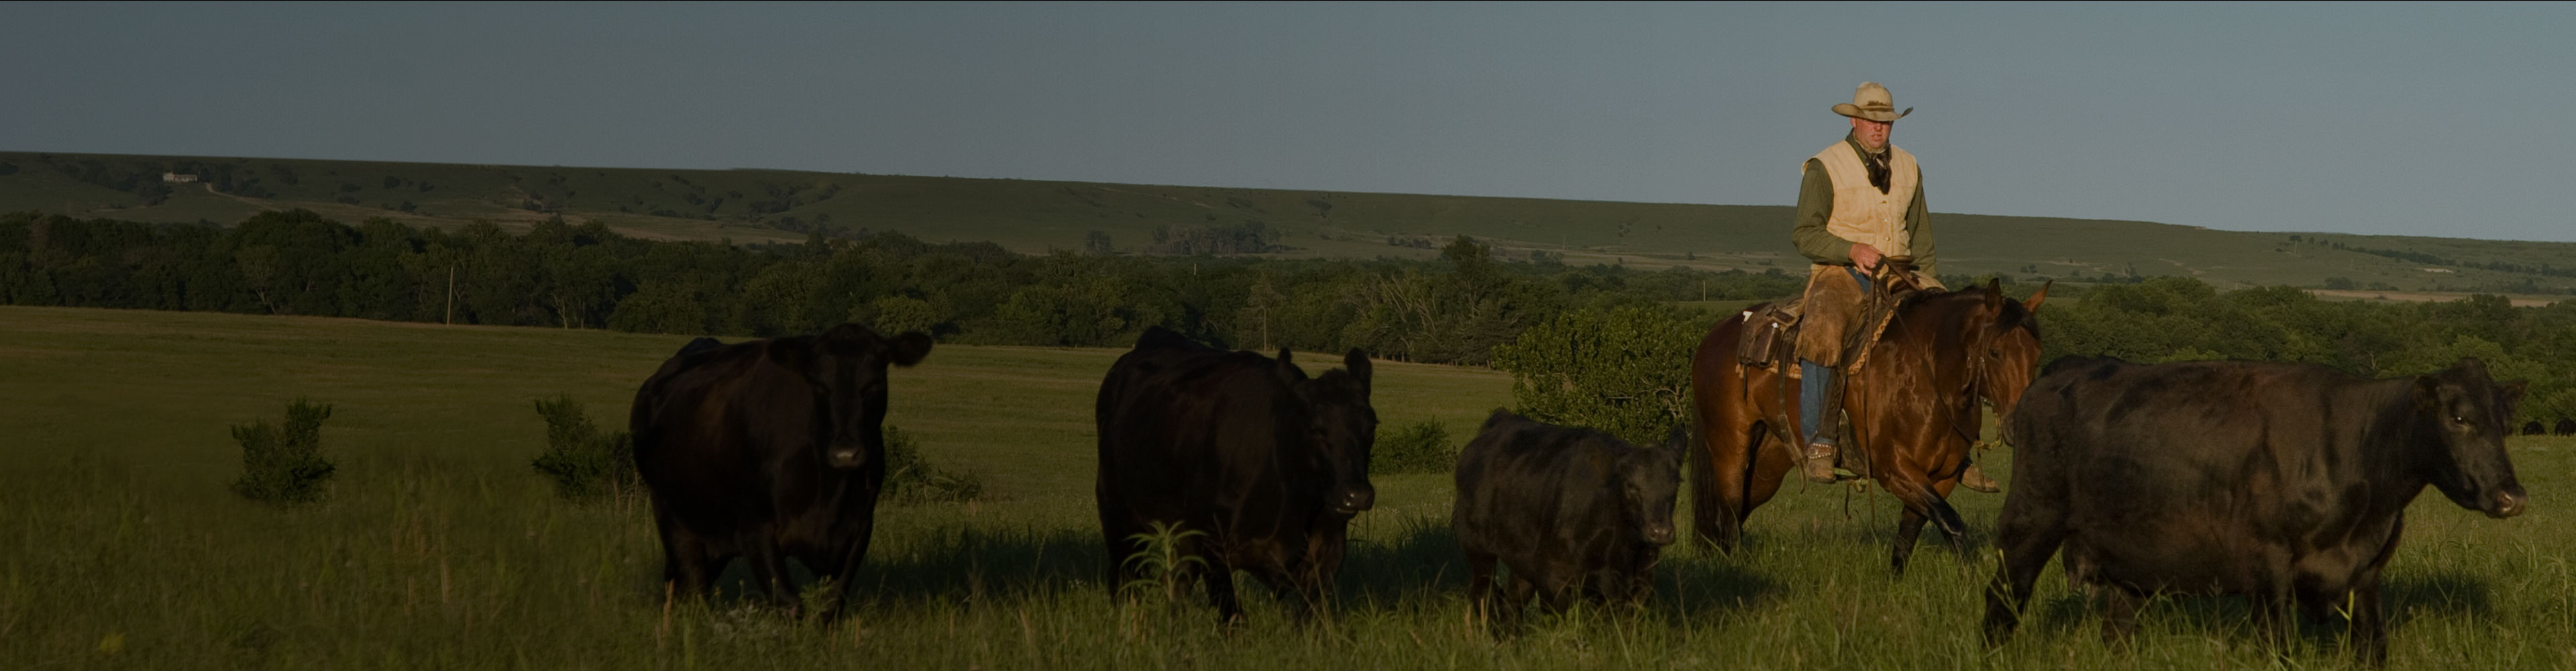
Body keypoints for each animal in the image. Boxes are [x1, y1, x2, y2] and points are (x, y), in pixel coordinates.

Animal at [1687, 278, 2047, 575]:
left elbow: (1911, 532)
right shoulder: (1894, 470)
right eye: (1995, 352)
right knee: (1729, 509)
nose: (2020, 423)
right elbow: (1952, 522)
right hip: (1731, 446)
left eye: (2037, 354)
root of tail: (1714, 337)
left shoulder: (1940, 477)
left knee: (1740, 510)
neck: (1928, 374)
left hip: (1768, 463)